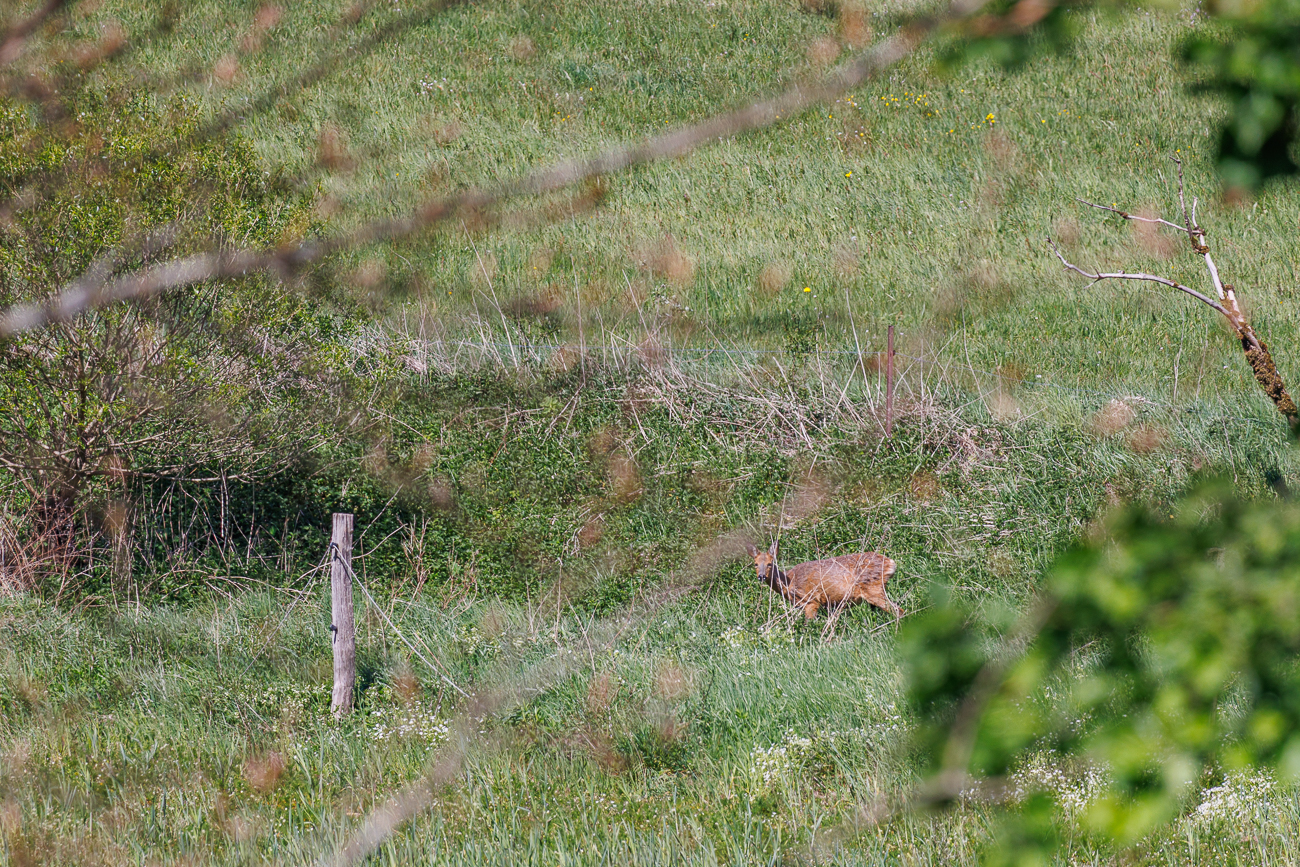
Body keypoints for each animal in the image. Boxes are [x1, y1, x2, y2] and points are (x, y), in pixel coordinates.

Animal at [746, 540, 900, 623]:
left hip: (873, 588)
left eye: (770, 563)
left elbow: (807, 625)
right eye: (755, 564)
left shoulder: (811, 600)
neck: (789, 582)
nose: (761, 576)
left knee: (898, 610)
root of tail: (891, 563)